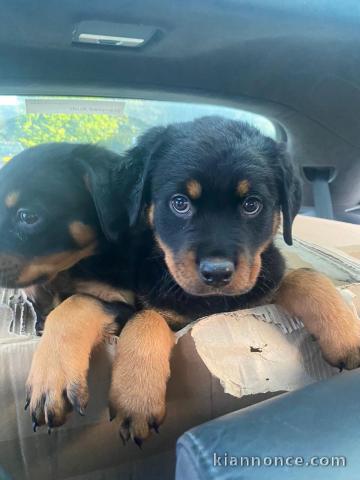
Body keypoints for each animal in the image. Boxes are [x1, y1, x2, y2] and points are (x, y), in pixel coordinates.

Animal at [107, 115, 360, 442]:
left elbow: (306, 276)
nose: (217, 273)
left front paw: (348, 337)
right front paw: (136, 398)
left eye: (251, 204)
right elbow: (145, 319)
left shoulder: (266, 280)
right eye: (179, 203)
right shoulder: (150, 305)